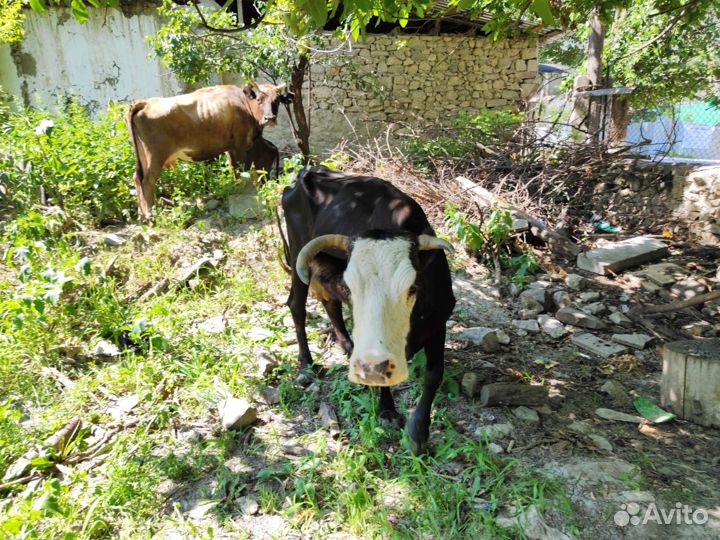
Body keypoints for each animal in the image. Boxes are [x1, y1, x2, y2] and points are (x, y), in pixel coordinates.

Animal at [125, 82, 292, 219]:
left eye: (277, 100)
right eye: (259, 100)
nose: (270, 118)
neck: (244, 103)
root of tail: (145, 102)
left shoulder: (230, 148)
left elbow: (234, 170)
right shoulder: (241, 144)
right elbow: (241, 169)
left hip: (143, 155)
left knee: (137, 178)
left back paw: (141, 215)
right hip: (155, 156)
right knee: (148, 181)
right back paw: (150, 215)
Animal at [281, 166, 455, 454]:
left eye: (412, 288)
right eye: (352, 287)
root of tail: (309, 171)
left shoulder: (438, 320)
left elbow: (434, 375)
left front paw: (419, 432)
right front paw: (387, 411)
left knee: (329, 302)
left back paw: (346, 344)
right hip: (297, 256)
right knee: (297, 305)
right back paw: (306, 362)